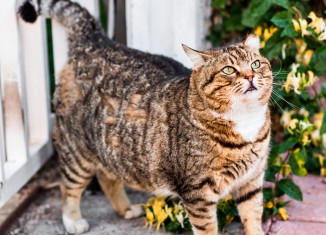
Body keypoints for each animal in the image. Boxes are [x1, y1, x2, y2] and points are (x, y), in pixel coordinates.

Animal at [17, 0, 272, 234]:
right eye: (228, 70)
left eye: (255, 64)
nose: (250, 76)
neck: (245, 121)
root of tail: (95, 42)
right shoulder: (198, 192)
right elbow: (207, 229)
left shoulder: (252, 180)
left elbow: (252, 216)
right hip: (77, 149)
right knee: (69, 185)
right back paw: (73, 220)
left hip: (111, 147)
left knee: (107, 175)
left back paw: (125, 209)